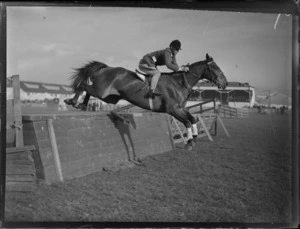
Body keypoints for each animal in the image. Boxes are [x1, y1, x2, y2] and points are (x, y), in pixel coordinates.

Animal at [63, 53, 227, 150]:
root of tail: (107, 68)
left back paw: (82, 104)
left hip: (109, 97)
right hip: (101, 91)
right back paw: (72, 101)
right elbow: (187, 122)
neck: (179, 83)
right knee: (84, 86)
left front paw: (194, 138)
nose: (224, 83)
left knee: (88, 90)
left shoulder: (180, 108)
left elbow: (192, 119)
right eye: (215, 67)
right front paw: (189, 142)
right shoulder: (172, 109)